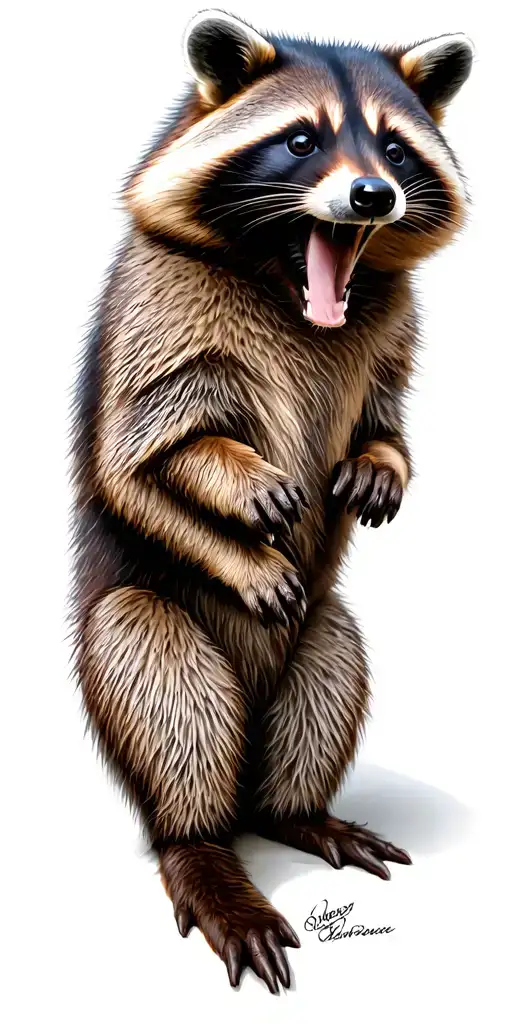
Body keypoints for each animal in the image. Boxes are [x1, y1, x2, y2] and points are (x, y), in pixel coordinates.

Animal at [70, 10, 473, 993]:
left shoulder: (395, 328)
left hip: (313, 653)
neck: (292, 288)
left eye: (395, 148)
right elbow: (135, 466)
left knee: (332, 659)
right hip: (152, 648)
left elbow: (389, 420)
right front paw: (236, 494)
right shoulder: (156, 310)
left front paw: (382, 461)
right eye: (301, 140)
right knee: (158, 676)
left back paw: (298, 813)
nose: (371, 195)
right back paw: (202, 849)